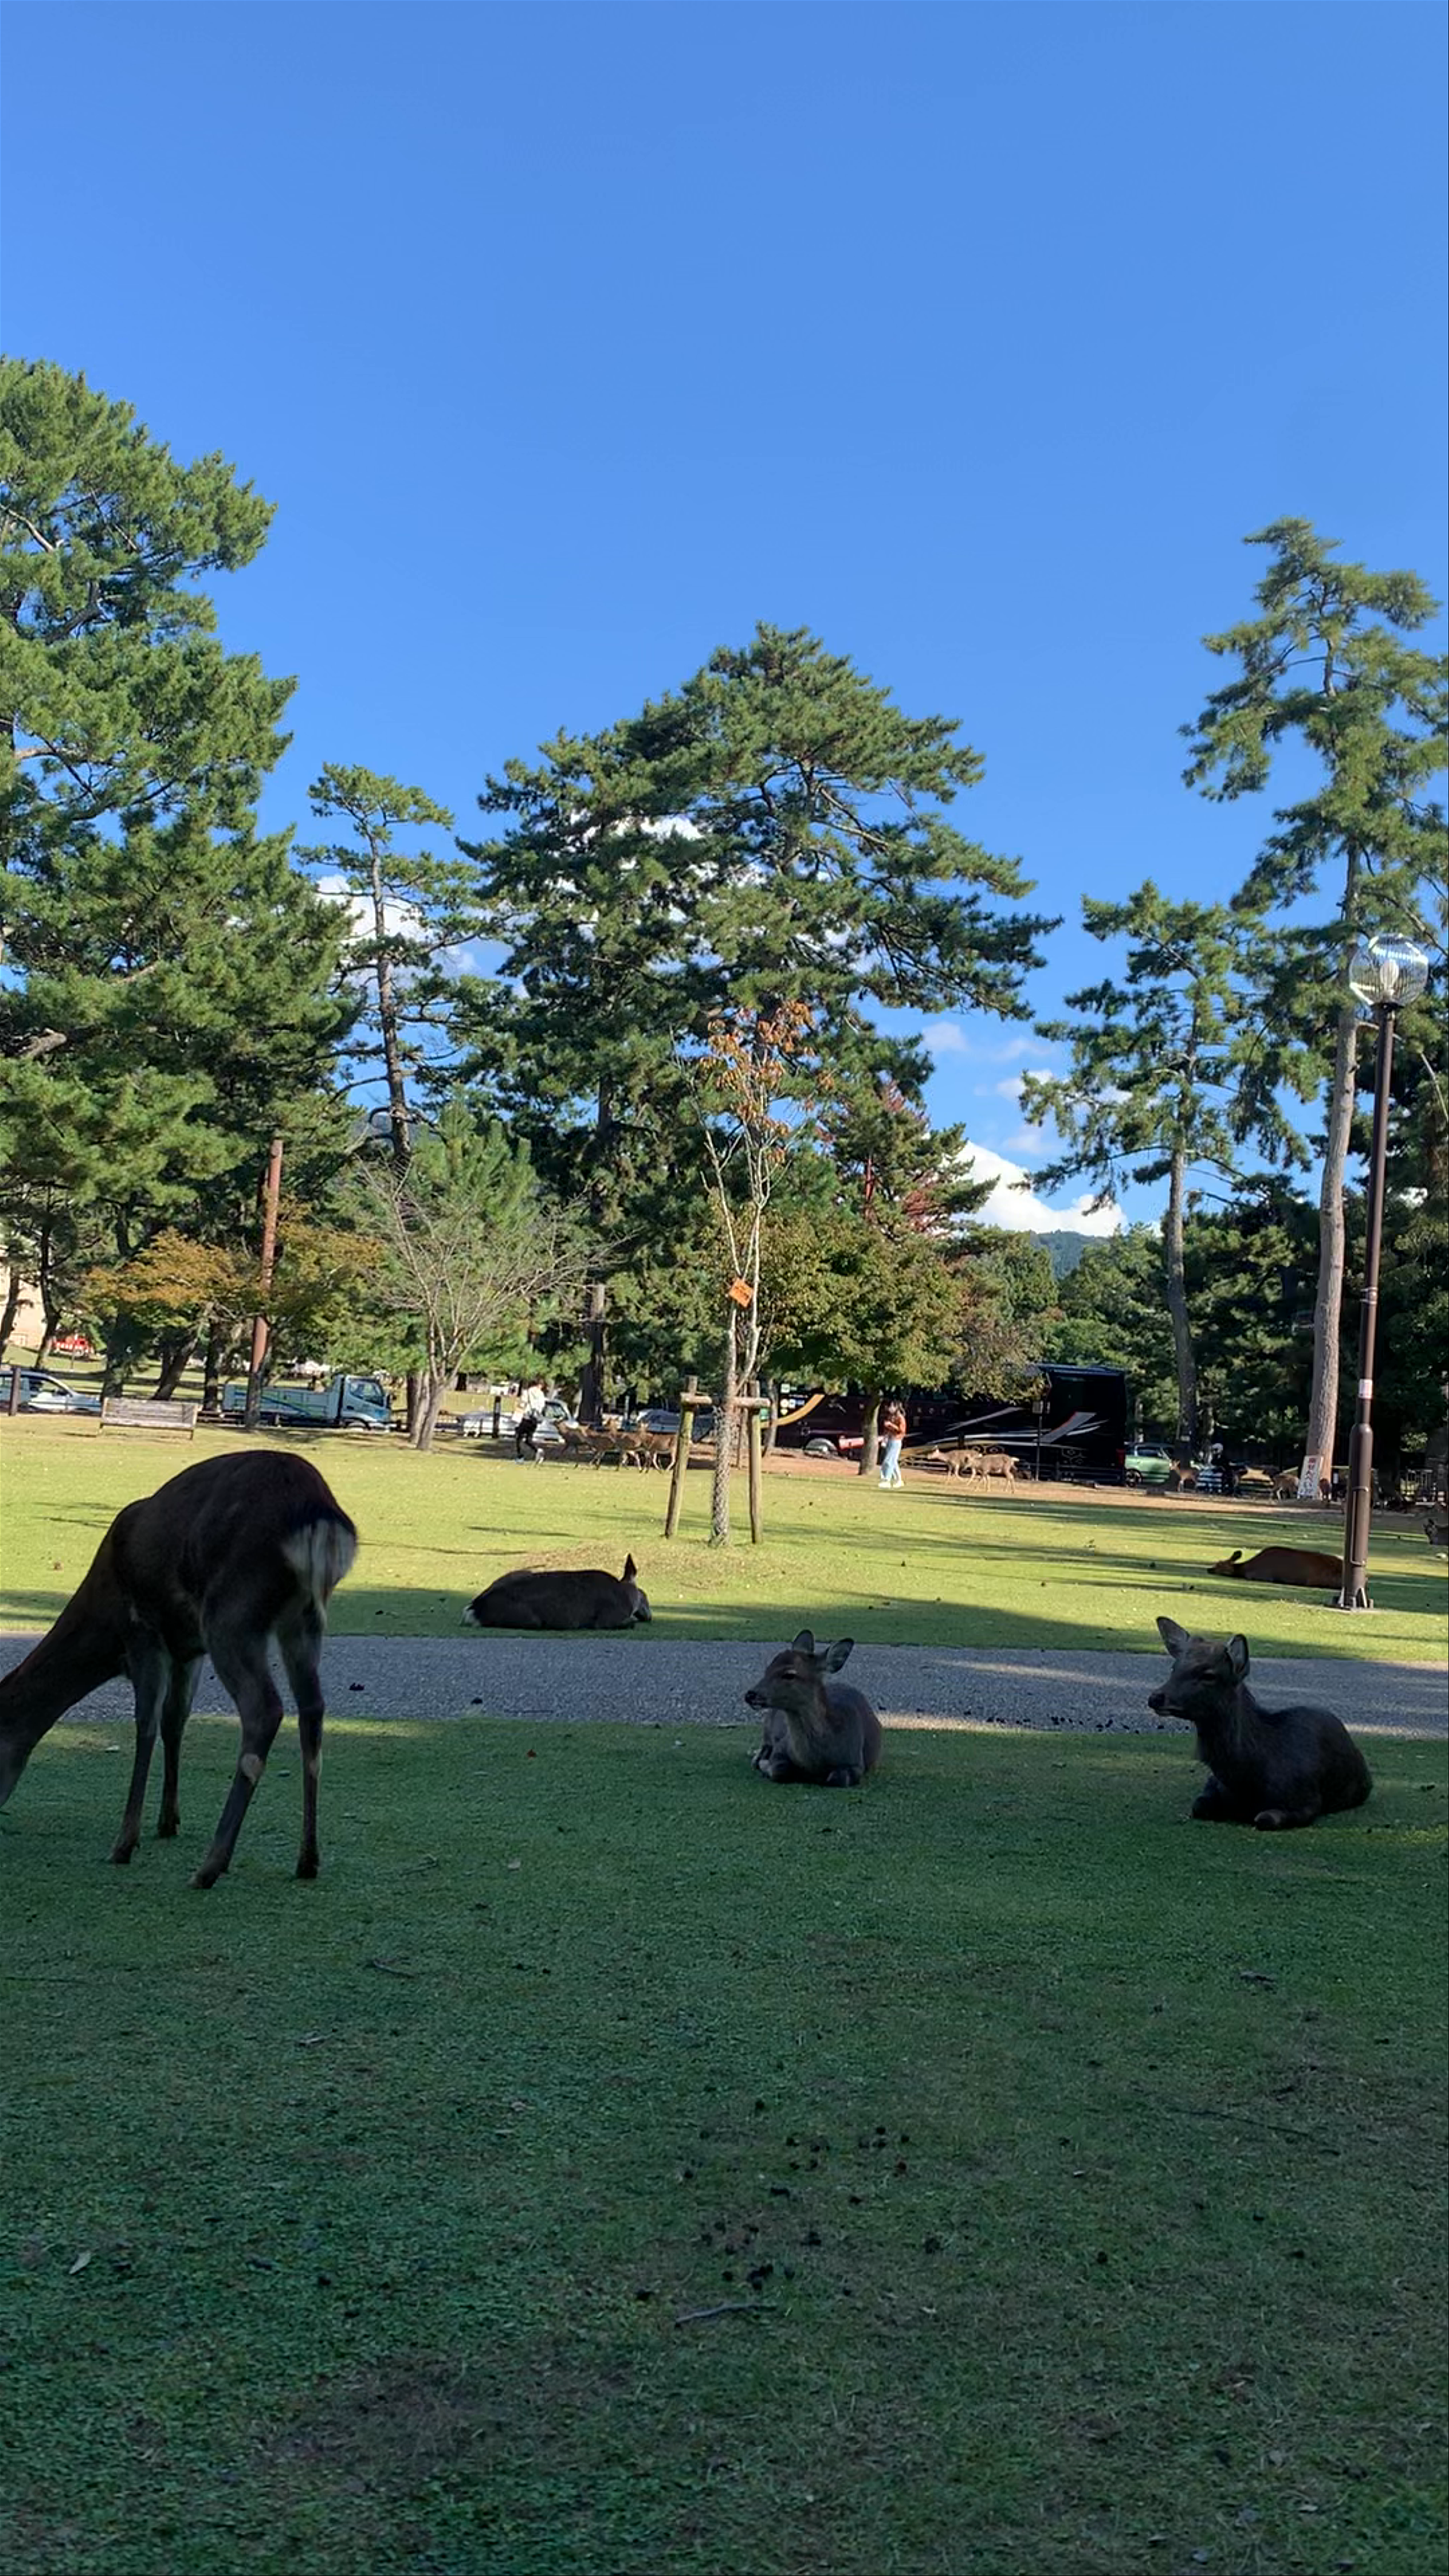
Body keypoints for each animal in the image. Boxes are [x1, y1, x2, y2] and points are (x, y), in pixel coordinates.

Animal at [0, 1451, 357, 1889]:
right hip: (304, 1619)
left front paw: (125, 1843)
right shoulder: (188, 1649)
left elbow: (146, 1723)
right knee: (313, 1708)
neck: (104, 1626)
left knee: (265, 1709)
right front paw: (168, 1821)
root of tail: (319, 1514)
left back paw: (210, 1866)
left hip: (233, 1611)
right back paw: (308, 1860)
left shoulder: (143, 1631)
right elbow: (175, 1720)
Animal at [463, 1554, 651, 1631]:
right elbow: (631, 1623)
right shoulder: (606, 1620)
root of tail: (474, 1608)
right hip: (532, 1620)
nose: (649, 1616)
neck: (627, 1597)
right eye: (646, 1595)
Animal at [744, 1630, 882, 1787]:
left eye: (790, 1674)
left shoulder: (856, 1761)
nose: (750, 1695)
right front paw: (763, 1764)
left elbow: (838, 1779)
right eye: (768, 1669)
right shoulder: (782, 1745)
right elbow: (780, 1770)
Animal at [1148, 1616, 1371, 1830]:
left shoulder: (1309, 1801)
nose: (1156, 1697)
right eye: (1174, 1667)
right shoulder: (1212, 1782)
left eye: (1209, 1675)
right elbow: (1199, 1806)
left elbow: (1266, 1819)